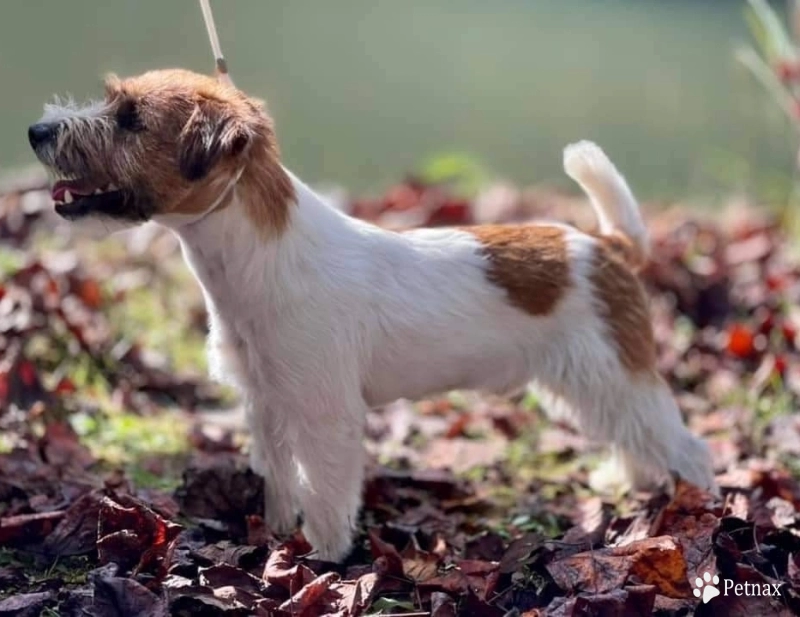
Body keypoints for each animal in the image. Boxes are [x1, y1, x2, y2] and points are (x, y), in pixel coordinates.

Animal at [31, 70, 716, 560]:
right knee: (637, 441)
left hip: (613, 375)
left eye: (131, 120)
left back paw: (701, 515)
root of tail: (607, 246)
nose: (39, 131)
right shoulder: (266, 403)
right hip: (593, 385)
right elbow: (280, 482)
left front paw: (323, 560)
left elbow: (326, 494)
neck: (265, 258)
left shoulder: (324, 415)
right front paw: (274, 539)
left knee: (688, 447)